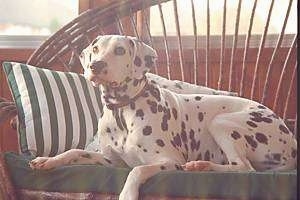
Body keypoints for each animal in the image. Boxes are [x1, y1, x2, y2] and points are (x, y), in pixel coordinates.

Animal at [29, 35, 296, 200]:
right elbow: (75, 152)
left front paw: (127, 193)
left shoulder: (168, 161)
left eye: (119, 50)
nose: (96, 65)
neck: (123, 110)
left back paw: (201, 166)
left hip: (220, 122)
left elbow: (137, 170)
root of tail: (293, 145)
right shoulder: (112, 162)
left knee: (244, 167)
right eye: (95, 49)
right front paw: (48, 160)